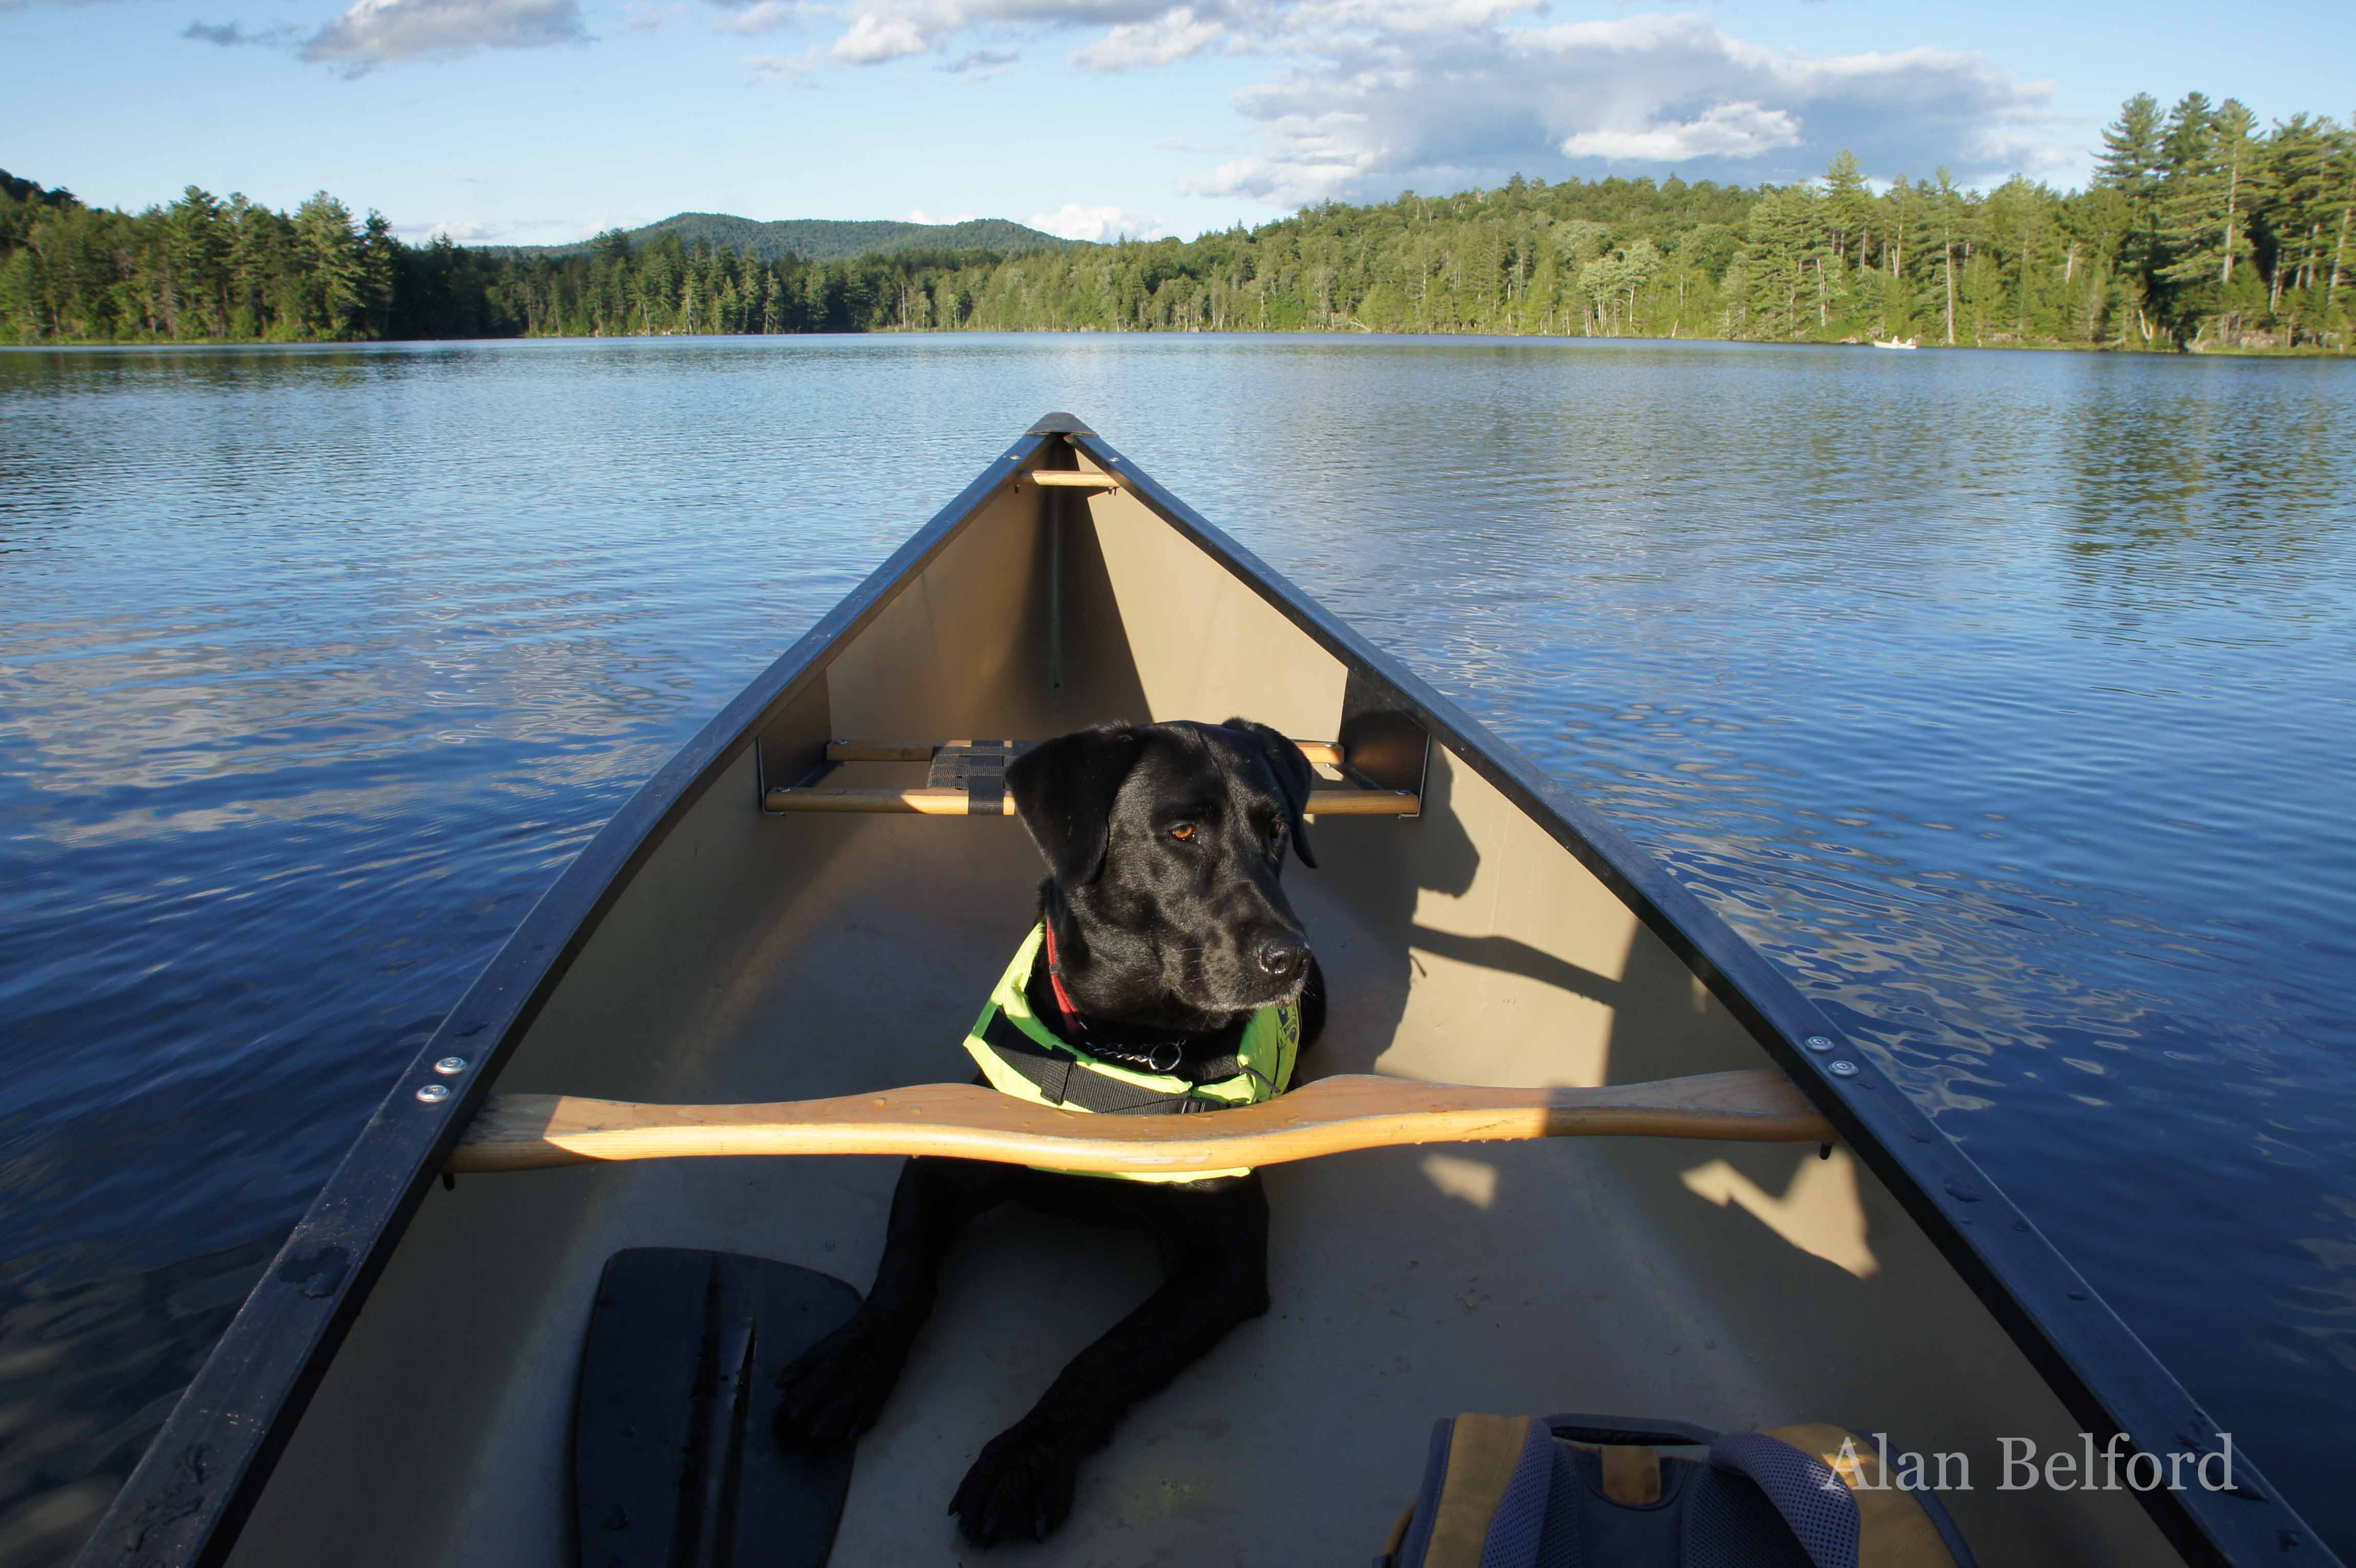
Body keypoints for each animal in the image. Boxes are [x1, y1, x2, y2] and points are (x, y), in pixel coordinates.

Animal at [773, 715, 1328, 1535]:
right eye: (1182, 831)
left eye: (1278, 829)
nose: (1290, 958)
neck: (1126, 1048)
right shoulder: (941, 1163)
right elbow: (904, 1275)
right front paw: (849, 1364)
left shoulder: (1225, 1259)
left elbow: (1104, 1353)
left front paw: (1026, 1456)